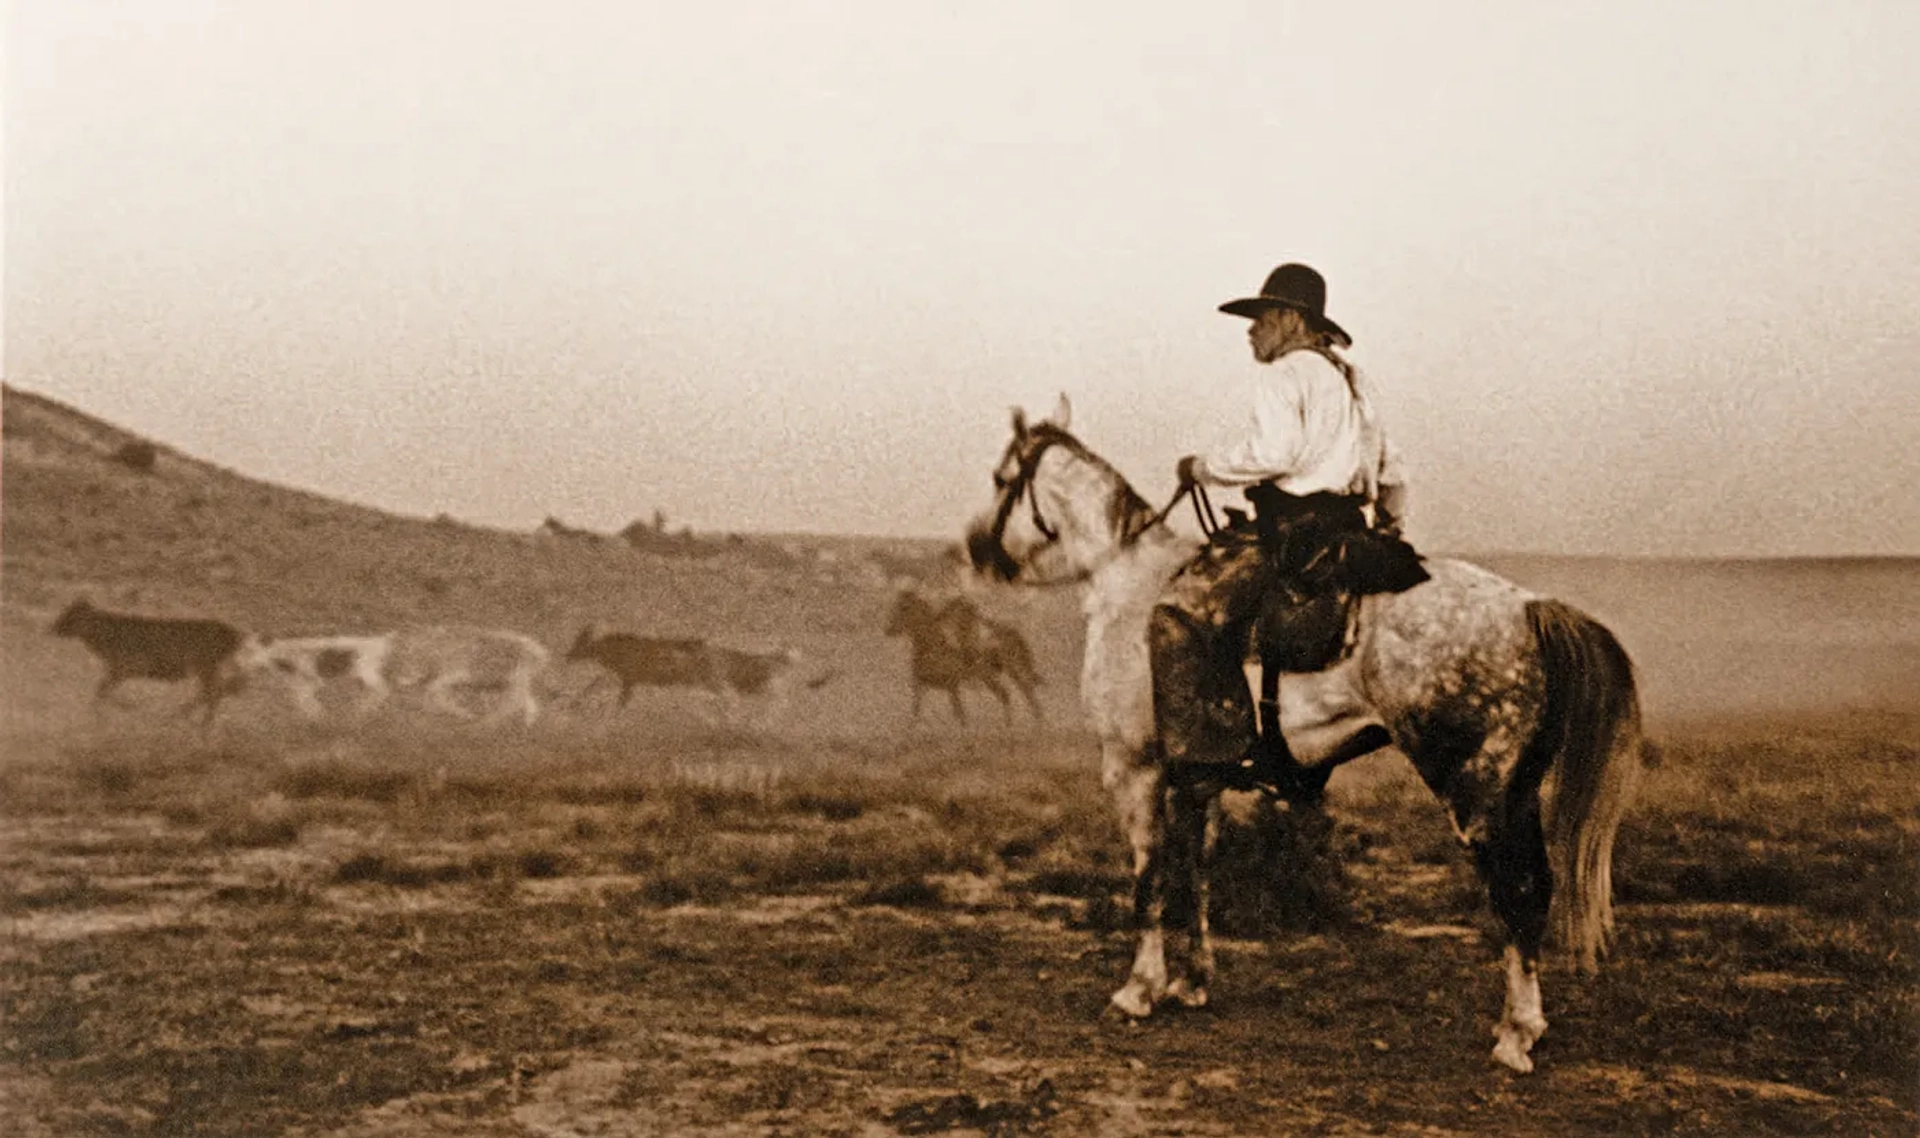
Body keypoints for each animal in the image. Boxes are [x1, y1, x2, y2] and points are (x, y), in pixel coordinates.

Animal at [887, 591, 1044, 721]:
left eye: (903, 610)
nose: (889, 631)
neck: (931, 647)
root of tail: (1010, 633)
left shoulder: (951, 684)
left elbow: (959, 713)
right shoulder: (924, 683)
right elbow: (917, 706)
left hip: (995, 675)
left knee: (1013, 693)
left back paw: (1013, 724)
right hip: (1004, 674)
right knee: (1021, 692)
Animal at [967, 397, 1643, 1074]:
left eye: (1001, 479)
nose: (974, 549)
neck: (1129, 581)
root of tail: (1531, 608)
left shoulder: (1135, 768)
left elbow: (1150, 878)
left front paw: (1138, 990)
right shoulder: (1200, 779)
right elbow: (1197, 872)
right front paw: (1193, 981)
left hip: (1477, 792)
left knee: (1516, 890)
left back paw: (1515, 1034)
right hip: (1517, 787)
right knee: (1538, 887)